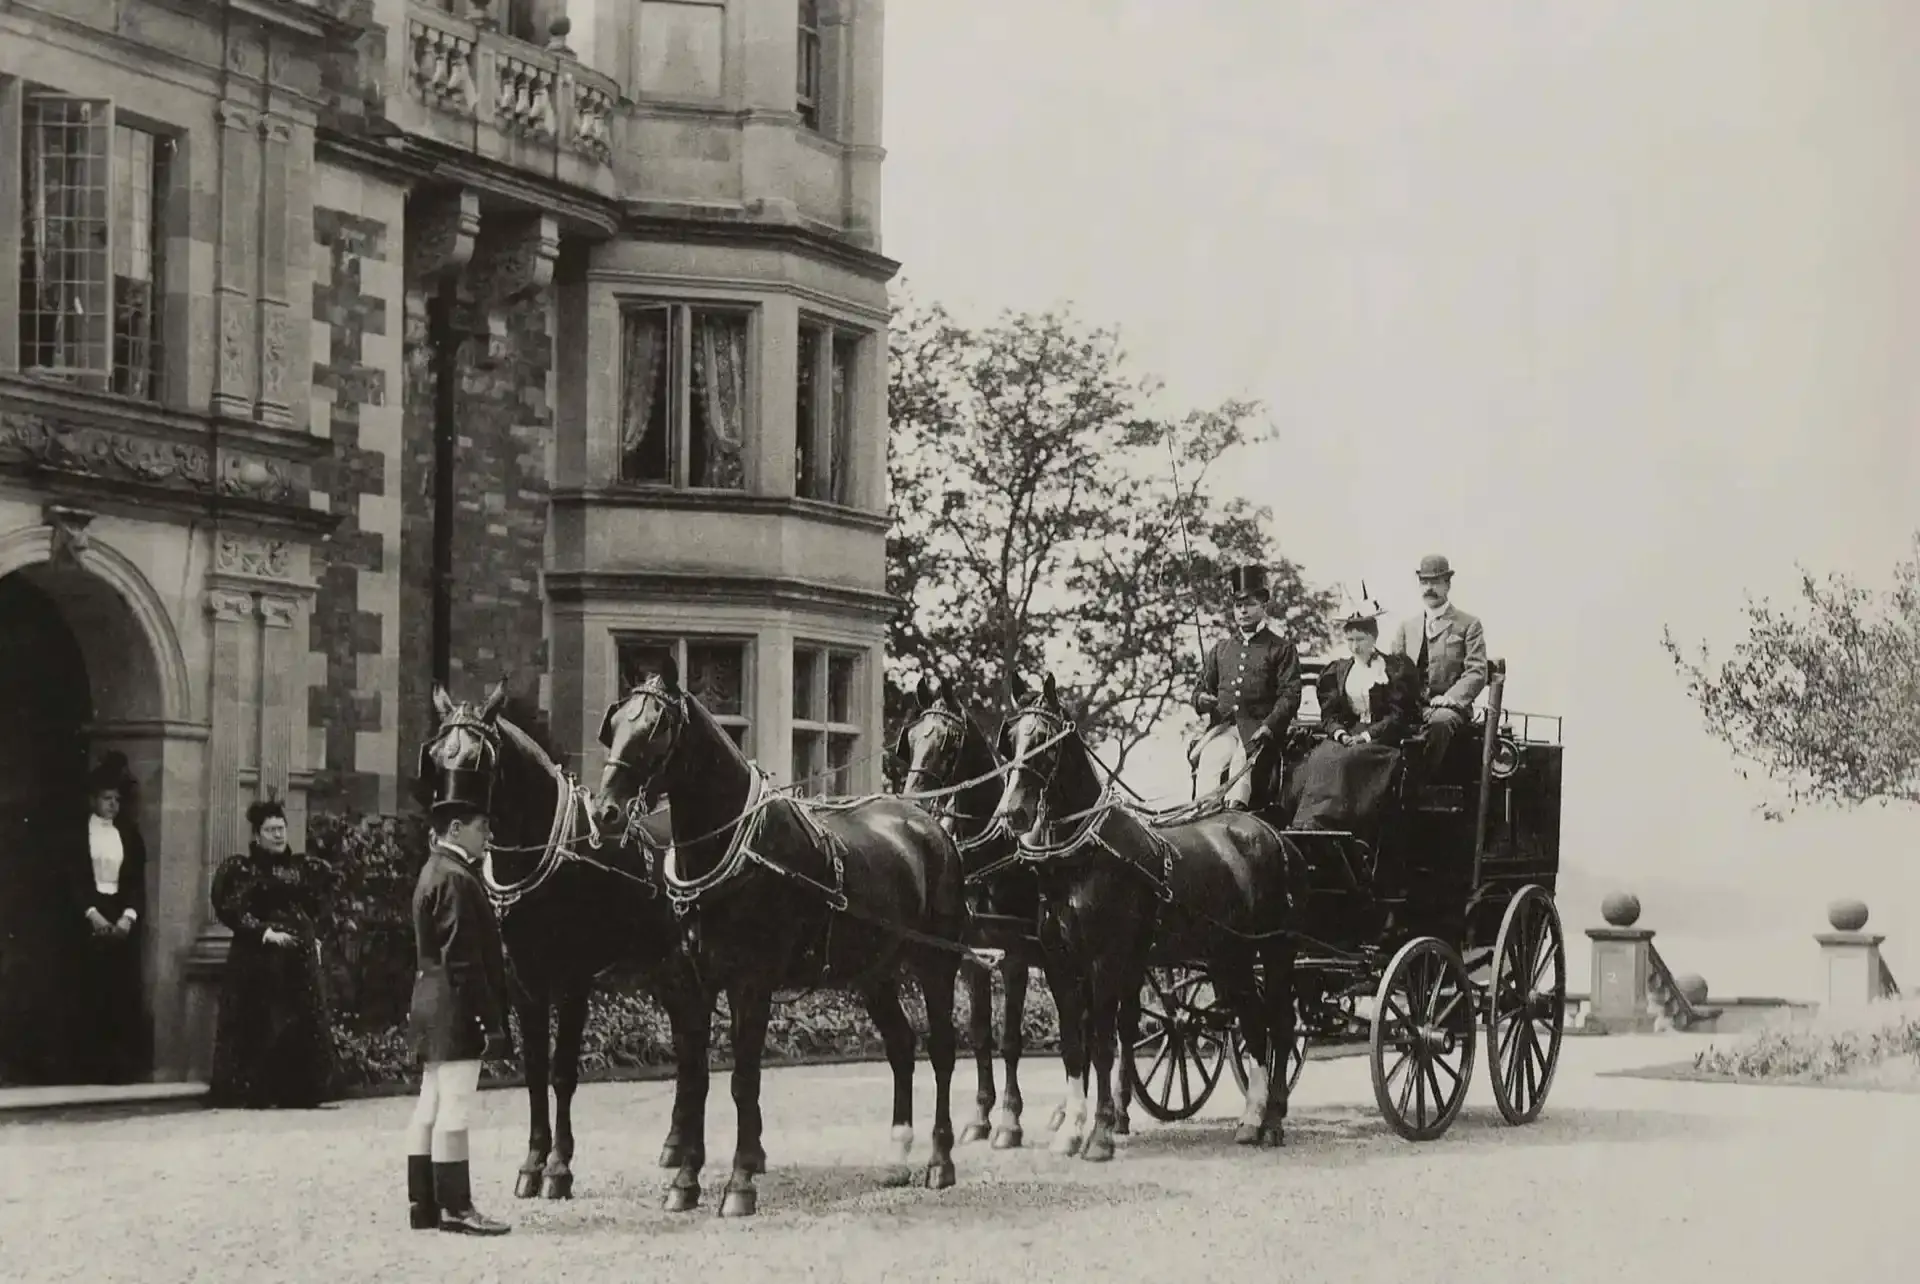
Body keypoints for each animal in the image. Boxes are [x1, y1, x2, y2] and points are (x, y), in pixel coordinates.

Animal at [420, 687, 706, 1205]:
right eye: (434, 756)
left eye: (478, 758)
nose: (443, 826)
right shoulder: (525, 983)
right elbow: (535, 1071)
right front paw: (532, 1163)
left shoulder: (573, 981)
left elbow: (562, 1072)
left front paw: (558, 1167)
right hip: (663, 968)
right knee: (687, 1041)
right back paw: (676, 1146)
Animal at [591, 656, 967, 1220]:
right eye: (613, 724)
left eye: (657, 728)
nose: (605, 812)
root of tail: (927, 823)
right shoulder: (692, 985)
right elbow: (695, 1079)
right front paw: (684, 1181)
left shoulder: (751, 983)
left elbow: (743, 1080)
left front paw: (740, 1184)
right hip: (874, 971)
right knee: (901, 1046)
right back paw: (896, 1158)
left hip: (934, 962)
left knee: (941, 1049)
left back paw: (939, 1162)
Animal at [990, 675, 1305, 1159]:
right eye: (1010, 741)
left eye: (1043, 740)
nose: (1012, 813)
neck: (1084, 858)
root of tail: (1272, 833)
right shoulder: (1060, 963)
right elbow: (1074, 1048)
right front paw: (1070, 1131)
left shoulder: (1105, 962)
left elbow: (1103, 1045)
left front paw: (1100, 1134)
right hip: (1228, 956)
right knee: (1253, 1024)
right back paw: (1251, 1120)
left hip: (1275, 950)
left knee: (1281, 1026)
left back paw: (1271, 1121)